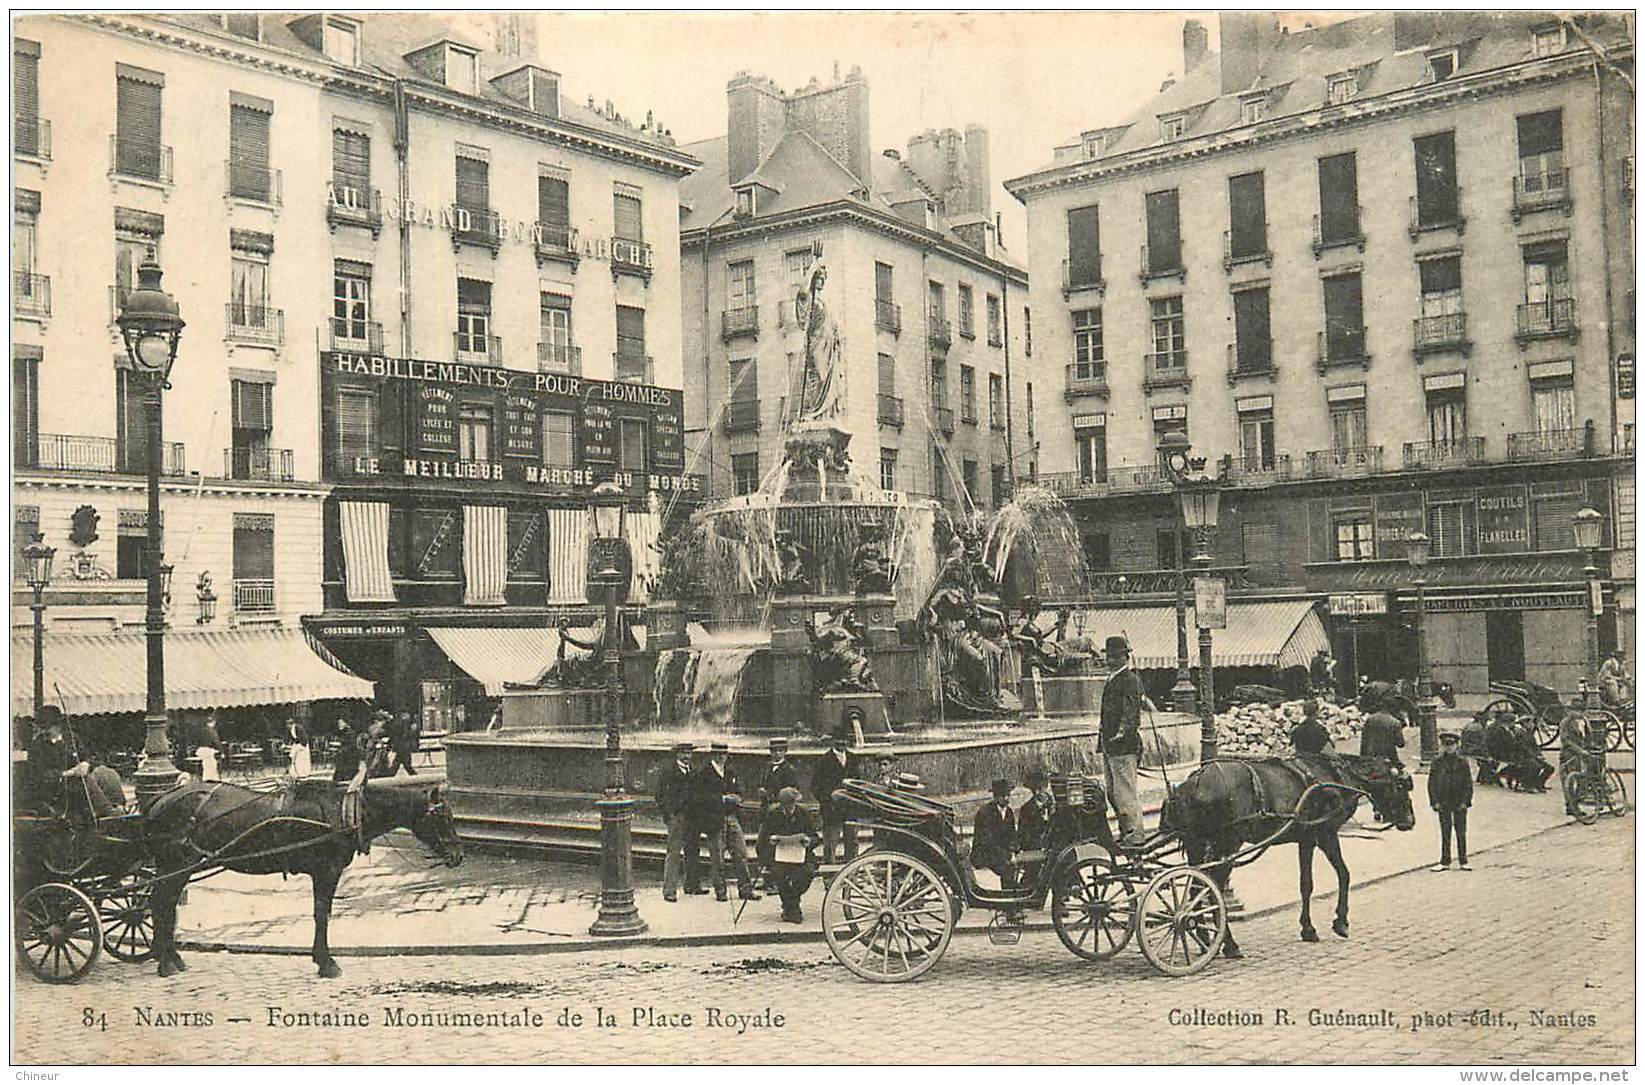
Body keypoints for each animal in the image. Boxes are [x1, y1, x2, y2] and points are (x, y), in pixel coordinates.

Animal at [140, 775, 460, 979]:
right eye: (442, 817)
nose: (458, 855)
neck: (344, 810)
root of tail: (161, 798)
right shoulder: (326, 870)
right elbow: (322, 914)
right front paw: (326, 962)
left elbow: (322, 914)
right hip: (177, 863)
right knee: (160, 902)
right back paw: (165, 962)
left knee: (164, 904)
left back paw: (171, 957)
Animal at [1158, 759, 1414, 953]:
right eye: (1401, 786)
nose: (1410, 821)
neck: (1334, 777)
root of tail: (1193, 783)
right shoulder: (1324, 834)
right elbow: (1342, 874)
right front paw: (1339, 922)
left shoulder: (1305, 839)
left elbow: (1306, 884)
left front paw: (1308, 928)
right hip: (1228, 843)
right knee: (1214, 888)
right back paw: (1228, 943)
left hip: (1197, 844)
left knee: (1196, 887)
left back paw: (1203, 937)